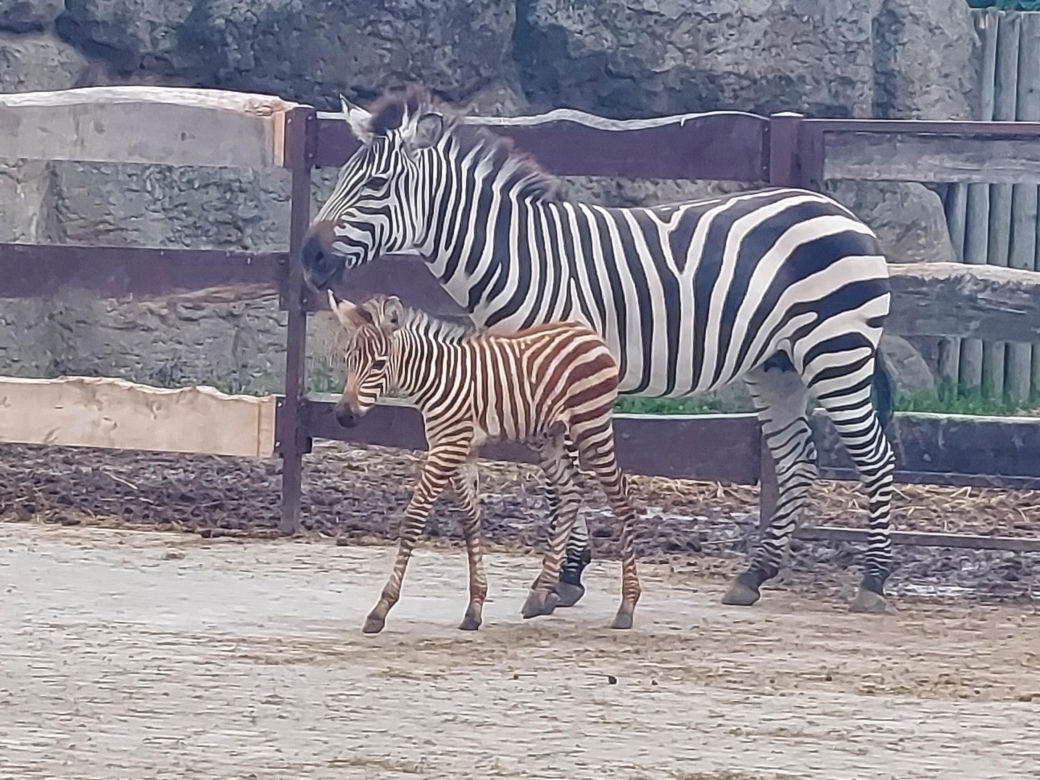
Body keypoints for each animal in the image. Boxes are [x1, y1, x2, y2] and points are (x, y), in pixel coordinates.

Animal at [326, 290, 641, 633]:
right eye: (348, 359)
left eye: (379, 364)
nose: (343, 416)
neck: (436, 380)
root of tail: (587, 333)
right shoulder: (461, 451)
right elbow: (471, 521)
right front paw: (475, 607)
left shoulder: (447, 447)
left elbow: (413, 518)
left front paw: (381, 608)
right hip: (549, 438)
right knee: (571, 493)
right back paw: (540, 594)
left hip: (592, 428)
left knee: (621, 497)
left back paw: (627, 605)